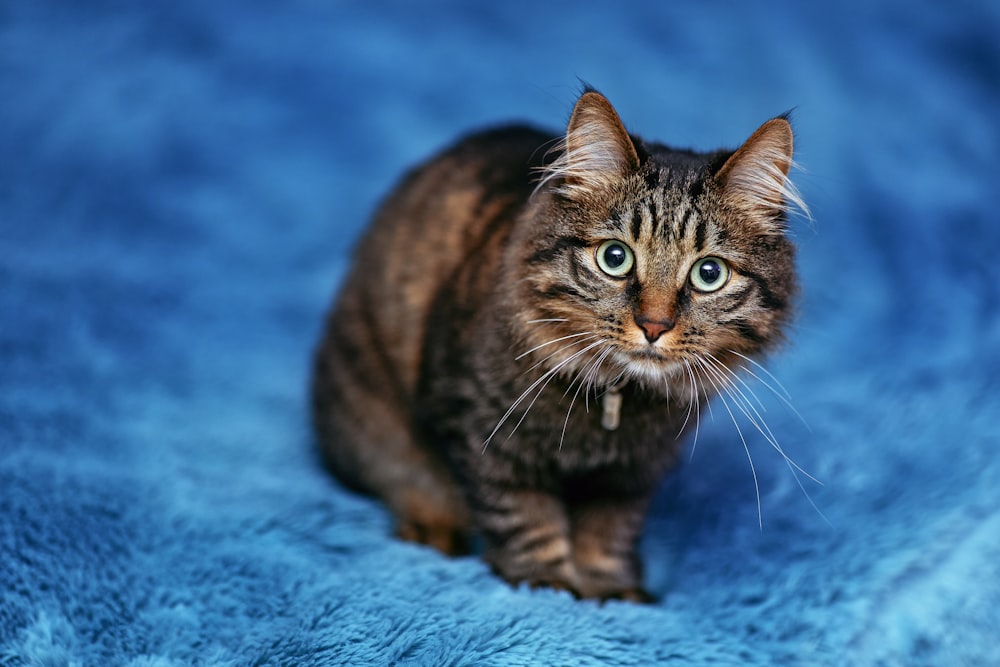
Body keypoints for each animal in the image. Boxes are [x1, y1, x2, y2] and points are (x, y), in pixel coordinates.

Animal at [312, 86, 804, 604]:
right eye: (615, 258)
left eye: (709, 273)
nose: (653, 326)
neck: (614, 401)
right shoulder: (483, 434)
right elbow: (524, 517)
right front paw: (546, 583)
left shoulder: (630, 476)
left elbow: (607, 532)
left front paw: (611, 590)